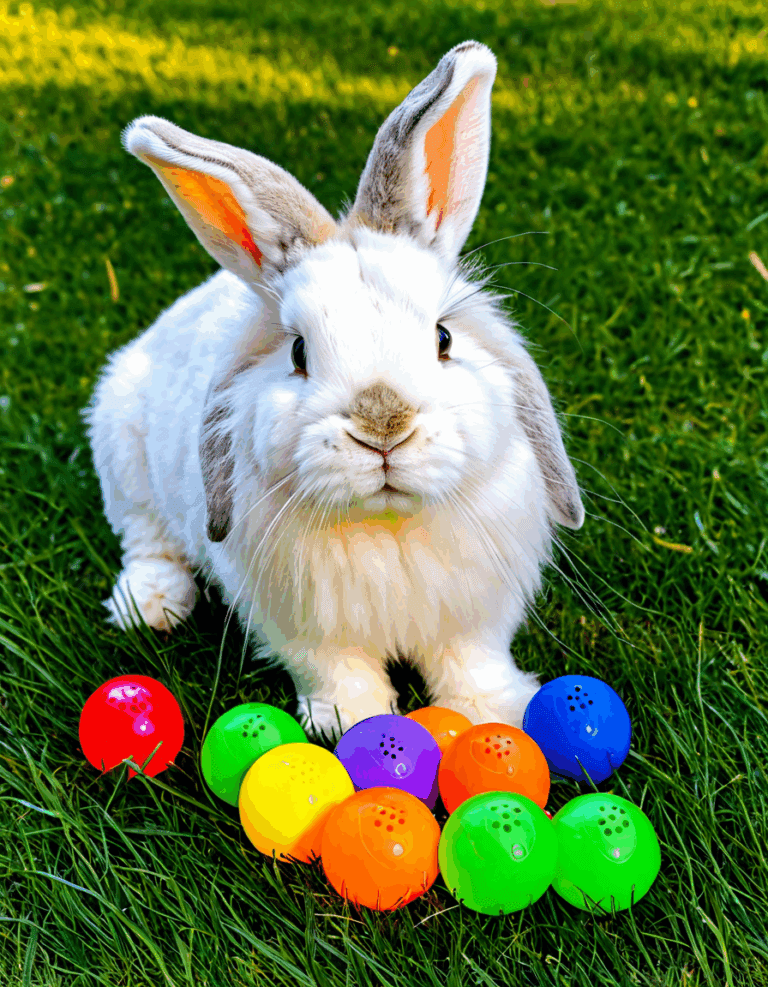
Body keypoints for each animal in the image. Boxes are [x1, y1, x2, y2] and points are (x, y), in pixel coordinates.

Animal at [85, 40, 584, 739]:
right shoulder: (302, 628)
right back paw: (150, 605)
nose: (383, 426)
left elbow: (472, 661)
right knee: (146, 539)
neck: (388, 527)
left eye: (443, 338)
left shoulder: (476, 613)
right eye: (298, 351)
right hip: (122, 451)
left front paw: (498, 713)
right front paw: (350, 726)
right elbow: (336, 671)